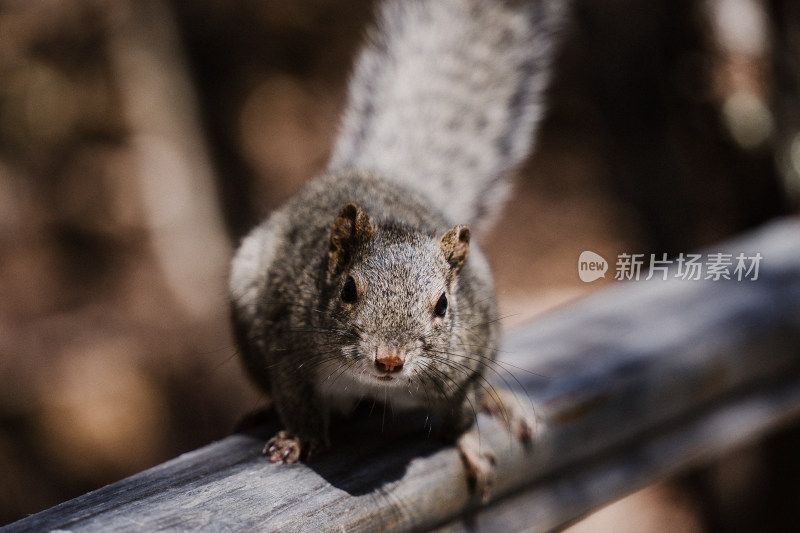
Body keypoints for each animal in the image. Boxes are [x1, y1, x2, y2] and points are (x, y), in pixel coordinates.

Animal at [228, 0, 564, 494]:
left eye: (443, 305)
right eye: (348, 290)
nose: (389, 360)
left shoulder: (470, 355)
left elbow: (460, 415)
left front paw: (470, 445)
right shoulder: (285, 338)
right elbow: (296, 399)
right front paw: (301, 437)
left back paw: (501, 402)